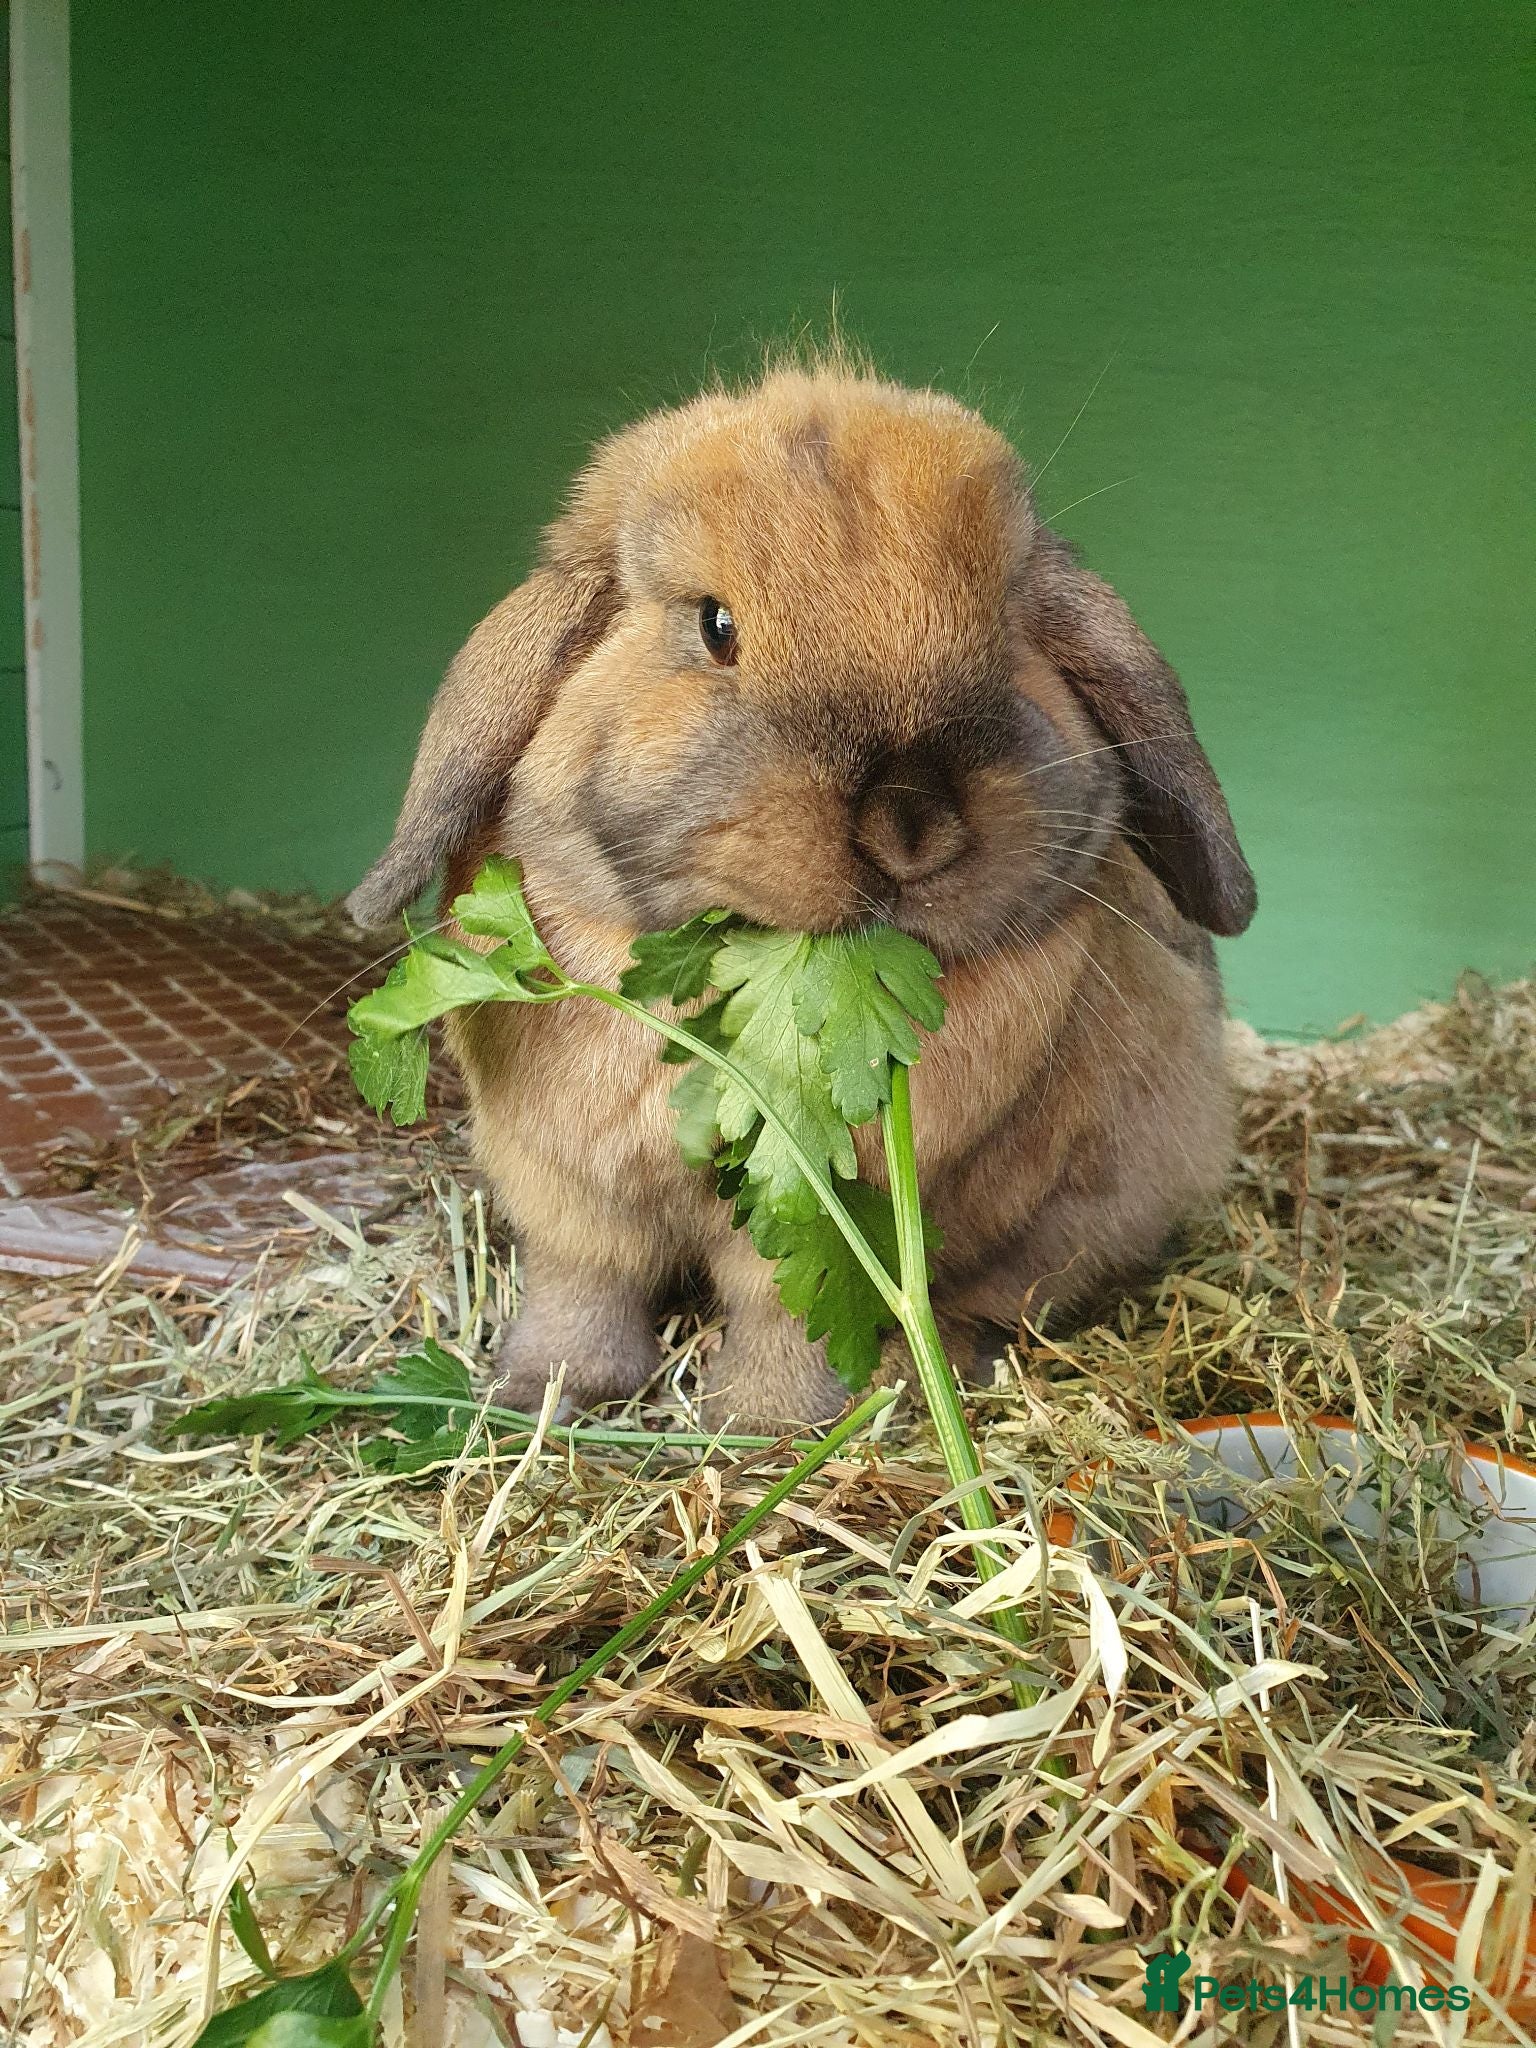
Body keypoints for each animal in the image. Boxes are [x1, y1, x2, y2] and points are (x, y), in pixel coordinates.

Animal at [348, 360, 1256, 1429]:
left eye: (1005, 622)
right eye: (715, 626)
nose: (908, 823)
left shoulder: (811, 1223)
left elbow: (783, 1308)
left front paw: (766, 1423)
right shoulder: (568, 1195)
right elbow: (585, 1285)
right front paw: (542, 1391)